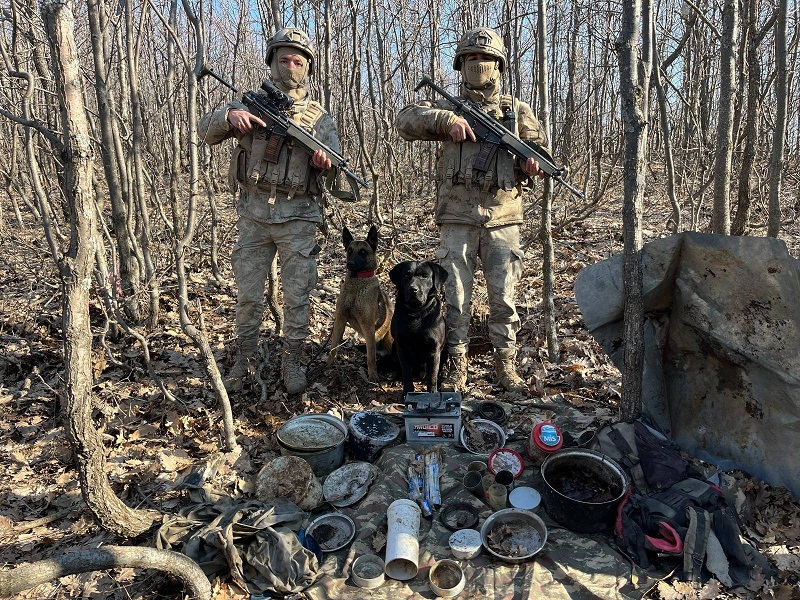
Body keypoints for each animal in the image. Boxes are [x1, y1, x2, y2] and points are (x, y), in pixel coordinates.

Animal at [326, 225, 396, 380]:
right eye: (349, 251)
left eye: (363, 252)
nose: (350, 264)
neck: (356, 285)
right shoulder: (340, 319)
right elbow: (333, 347)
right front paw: (327, 364)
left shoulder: (368, 327)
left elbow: (371, 356)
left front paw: (373, 376)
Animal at [390, 258, 450, 394]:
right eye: (406, 276)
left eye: (424, 276)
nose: (413, 289)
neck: (417, 312)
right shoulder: (402, 347)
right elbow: (406, 374)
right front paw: (406, 392)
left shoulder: (434, 351)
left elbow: (432, 376)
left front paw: (432, 393)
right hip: (394, 347)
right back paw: (397, 379)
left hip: (445, 350)